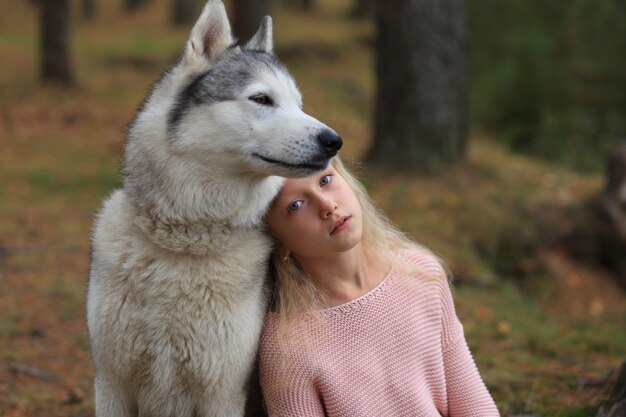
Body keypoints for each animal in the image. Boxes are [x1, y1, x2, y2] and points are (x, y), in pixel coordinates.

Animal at [86, 1, 342, 414]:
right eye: (262, 99)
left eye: (299, 106)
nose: (334, 140)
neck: (184, 243)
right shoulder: (111, 384)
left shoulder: (222, 392)